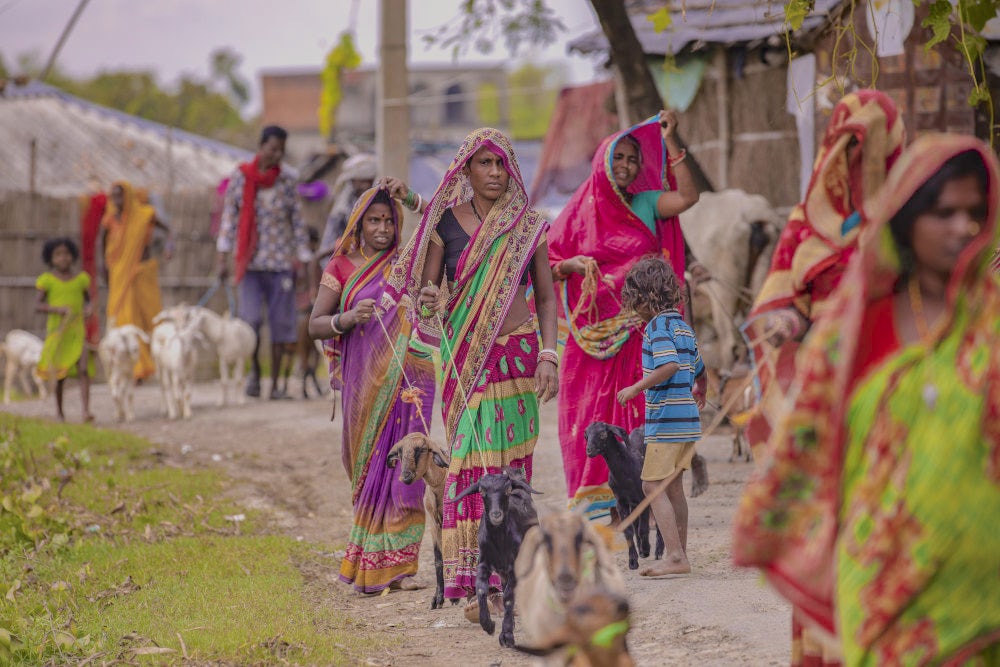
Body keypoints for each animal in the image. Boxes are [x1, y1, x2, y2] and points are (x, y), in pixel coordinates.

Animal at [384, 434, 452, 612]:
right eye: (400, 451)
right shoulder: (434, 525)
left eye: (421, 449)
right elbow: (439, 560)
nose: (405, 476)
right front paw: (438, 599)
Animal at [454, 470, 544, 648]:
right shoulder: (483, 563)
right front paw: (488, 625)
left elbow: (509, 595)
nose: (496, 514)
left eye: (507, 490)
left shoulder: (515, 566)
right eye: (481, 491)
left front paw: (506, 635)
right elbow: (481, 589)